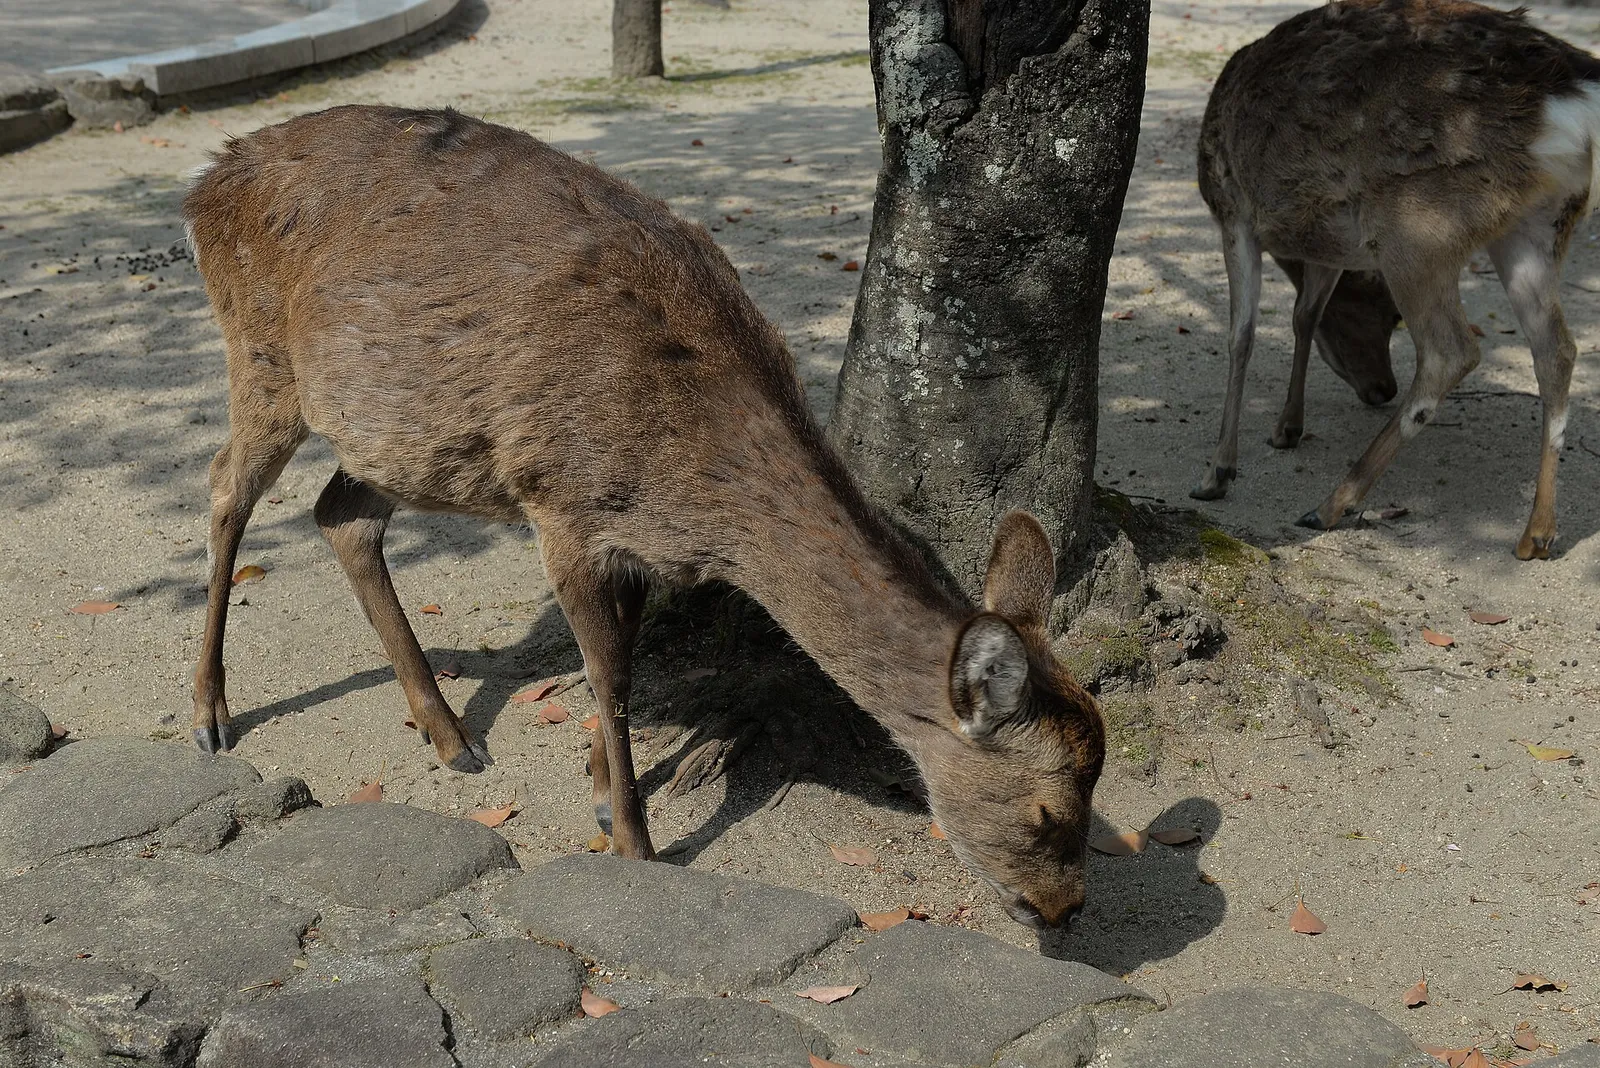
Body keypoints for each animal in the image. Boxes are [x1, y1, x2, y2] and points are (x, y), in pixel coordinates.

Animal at [183, 105, 1106, 929]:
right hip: (262, 356)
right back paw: (210, 715)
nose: (1064, 910)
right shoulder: (561, 503)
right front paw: (635, 844)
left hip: (399, 433)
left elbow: (621, 649)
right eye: (1049, 812)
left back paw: (450, 735)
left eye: (1098, 786)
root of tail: (206, 181)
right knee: (226, 487)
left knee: (339, 511)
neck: (692, 487)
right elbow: (612, 674)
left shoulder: (631, 541)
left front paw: (600, 790)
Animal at [1190, 0, 1597, 560]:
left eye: (1387, 319)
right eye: (1369, 315)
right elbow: (1303, 315)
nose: (1381, 387)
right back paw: (1536, 532)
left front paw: (1217, 472)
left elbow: (1242, 336)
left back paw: (1331, 503)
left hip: (1417, 229)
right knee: (1557, 349)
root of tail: (1572, 101)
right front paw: (1286, 429)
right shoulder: (1329, 243)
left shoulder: (1232, 209)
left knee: (1452, 350)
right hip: (1538, 225)